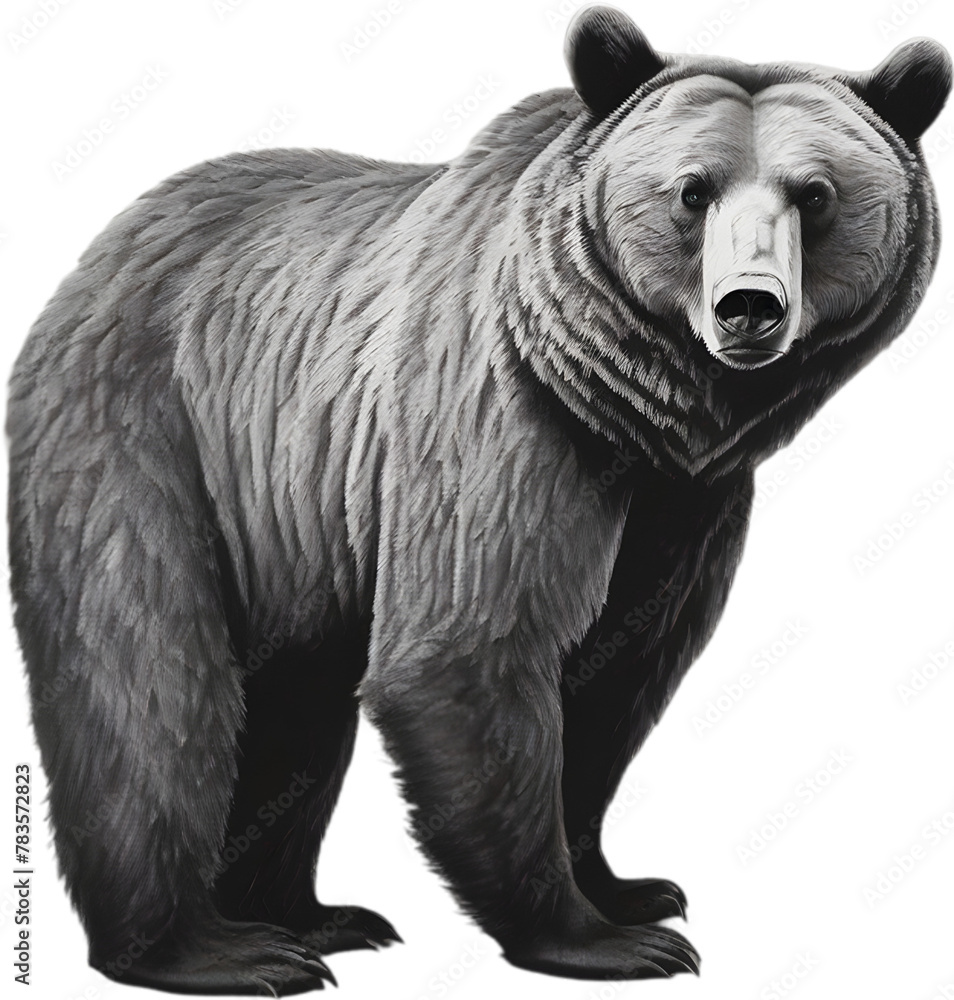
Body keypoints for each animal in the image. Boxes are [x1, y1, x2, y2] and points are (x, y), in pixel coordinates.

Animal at [6, 4, 951, 994]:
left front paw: (631, 889)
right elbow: (472, 646)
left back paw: (316, 917)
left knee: (298, 700)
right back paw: (214, 949)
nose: (749, 307)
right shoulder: (497, 415)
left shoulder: (683, 506)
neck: (637, 410)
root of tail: (101, 245)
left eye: (816, 195)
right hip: (144, 433)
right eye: (693, 192)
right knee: (150, 686)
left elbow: (618, 673)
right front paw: (602, 937)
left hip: (286, 516)